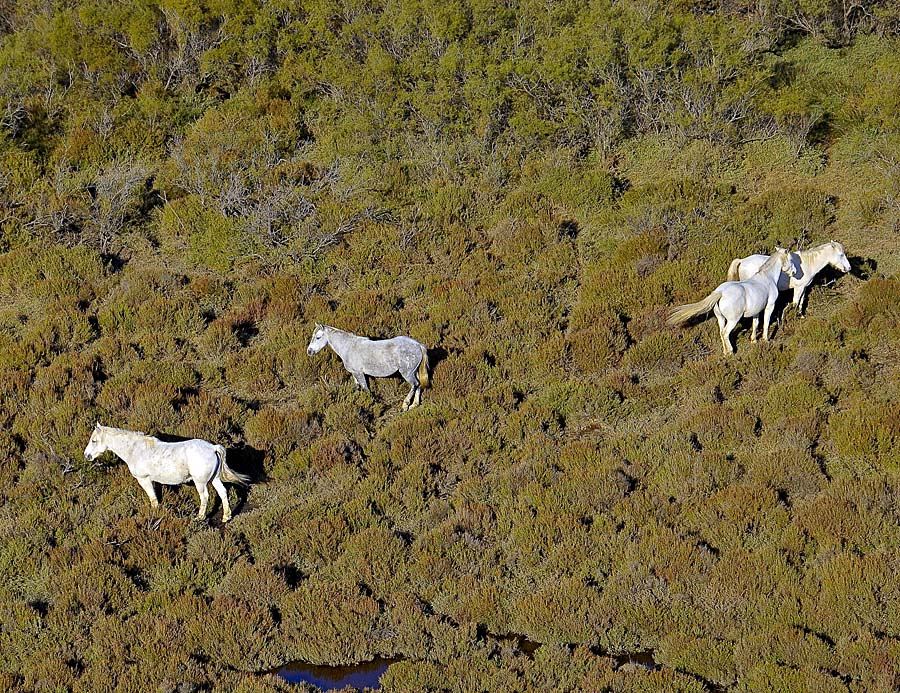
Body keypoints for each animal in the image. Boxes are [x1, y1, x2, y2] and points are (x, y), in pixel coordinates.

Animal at [83, 424, 250, 520]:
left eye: (94, 440)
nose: (87, 455)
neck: (135, 450)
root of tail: (213, 448)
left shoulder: (144, 479)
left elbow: (153, 499)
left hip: (200, 482)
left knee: (205, 497)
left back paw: (200, 517)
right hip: (214, 479)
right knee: (223, 492)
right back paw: (226, 517)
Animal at [664, 247, 800, 356]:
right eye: (791, 259)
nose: (795, 272)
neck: (767, 277)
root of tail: (720, 292)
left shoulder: (756, 311)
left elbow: (755, 324)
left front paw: (754, 340)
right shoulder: (769, 306)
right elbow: (766, 322)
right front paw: (766, 340)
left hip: (721, 318)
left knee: (721, 332)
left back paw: (725, 352)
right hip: (733, 320)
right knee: (725, 333)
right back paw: (730, 352)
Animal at [724, 238, 852, 314]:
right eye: (841, 255)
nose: (849, 268)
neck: (808, 263)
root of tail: (742, 261)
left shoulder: (803, 288)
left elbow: (801, 302)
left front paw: (800, 315)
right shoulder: (798, 288)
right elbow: (795, 302)